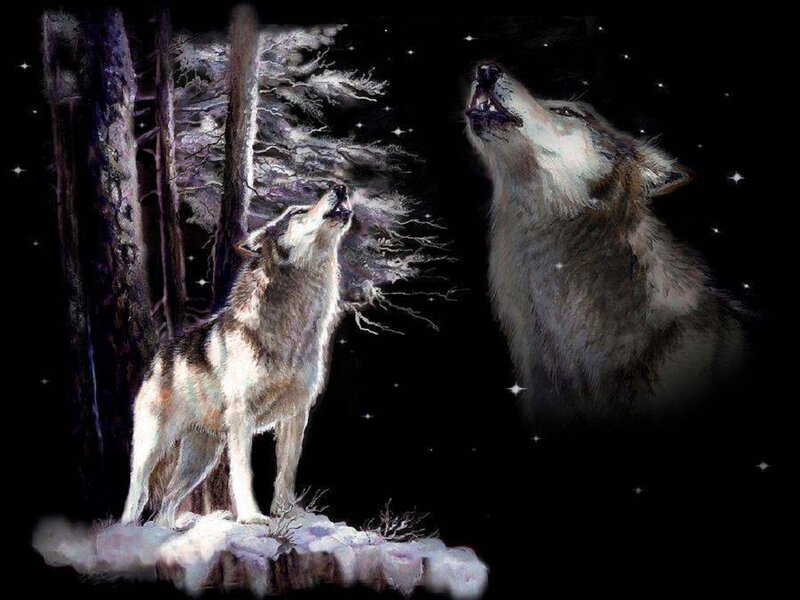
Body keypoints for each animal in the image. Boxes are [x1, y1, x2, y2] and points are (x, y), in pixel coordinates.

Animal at [121, 184, 352, 526]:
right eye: (298, 212)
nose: (341, 187)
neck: (292, 329)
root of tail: (159, 356)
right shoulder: (242, 416)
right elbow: (243, 473)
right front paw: (251, 516)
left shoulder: (296, 414)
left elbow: (287, 471)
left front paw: (288, 513)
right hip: (153, 448)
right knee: (137, 496)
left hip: (201, 457)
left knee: (167, 500)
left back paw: (169, 528)